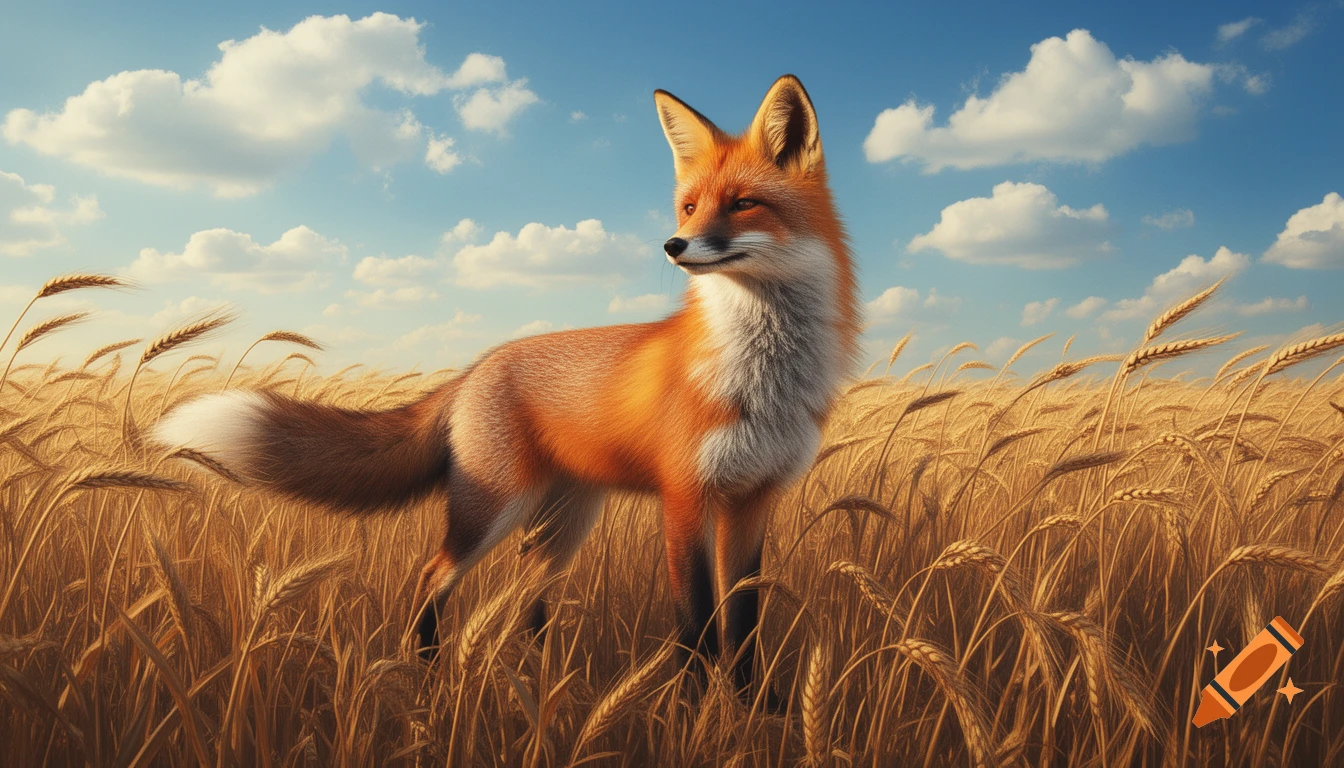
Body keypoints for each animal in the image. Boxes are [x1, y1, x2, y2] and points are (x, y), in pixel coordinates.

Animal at [151, 74, 860, 692]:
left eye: (743, 203)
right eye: (688, 206)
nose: (674, 244)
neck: (762, 378)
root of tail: (479, 366)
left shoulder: (752, 502)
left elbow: (742, 631)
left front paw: (748, 713)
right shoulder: (686, 498)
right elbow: (695, 631)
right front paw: (690, 717)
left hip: (562, 524)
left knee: (524, 600)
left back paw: (537, 684)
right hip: (493, 508)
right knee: (430, 578)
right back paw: (430, 678)